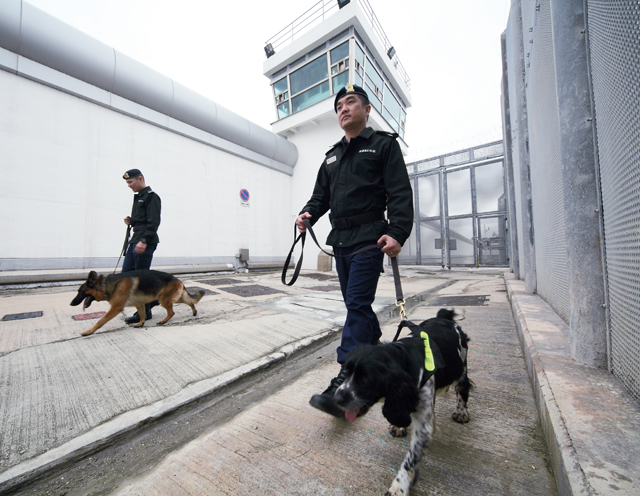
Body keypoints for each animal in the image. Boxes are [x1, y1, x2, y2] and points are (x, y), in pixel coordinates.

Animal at [69, 272, 202, 338]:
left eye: (80, 292)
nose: (71, 303)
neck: (106, 285)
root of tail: (178, 280)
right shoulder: (139, 303)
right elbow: (142, 315)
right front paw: (140, 323)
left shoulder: (116, 308)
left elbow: (100, 321)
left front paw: (88, 332)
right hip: (174, 298)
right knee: (190, 301)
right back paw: (194, 311)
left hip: (163, 299)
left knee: (172, 312)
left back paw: (164, 321)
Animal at [336, 308, 470, 494]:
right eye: (346, 372)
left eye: (365, 378)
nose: (336, 398)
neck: (405, 359)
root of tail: (444, 316)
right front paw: (399, 425)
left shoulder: (423, 425)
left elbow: (410, 460)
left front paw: (399, 487)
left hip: (461, 364)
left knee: (463, 386)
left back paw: (461, 411)